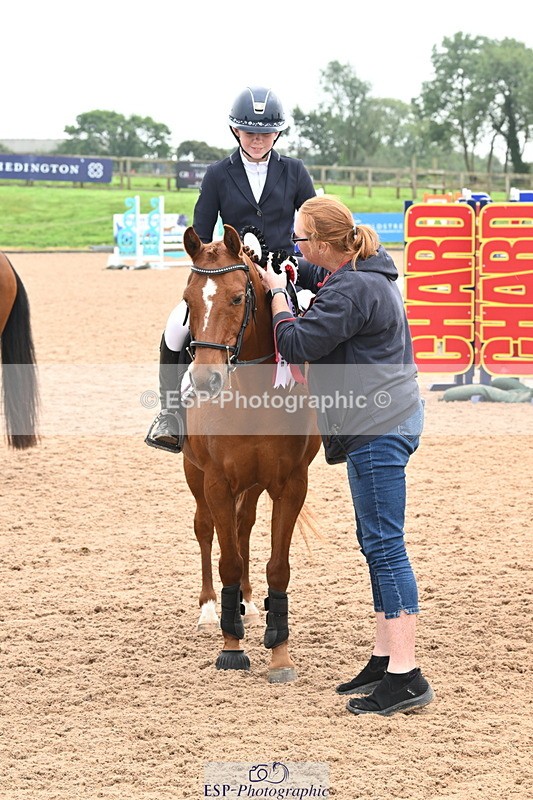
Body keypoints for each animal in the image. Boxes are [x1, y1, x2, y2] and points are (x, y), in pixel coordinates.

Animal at [181, 224, 321, 683]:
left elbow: (277, 565)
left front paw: (279, 653)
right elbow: (227, 559)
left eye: (237, 298)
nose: (205, 380)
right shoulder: (216, 481)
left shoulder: (290, 484)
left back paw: (245, 602)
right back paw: (211, 608)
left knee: (243, 527)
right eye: (188, 300)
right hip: (195, 474)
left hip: (254, 483)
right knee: (205, 528)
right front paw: (231, 647)